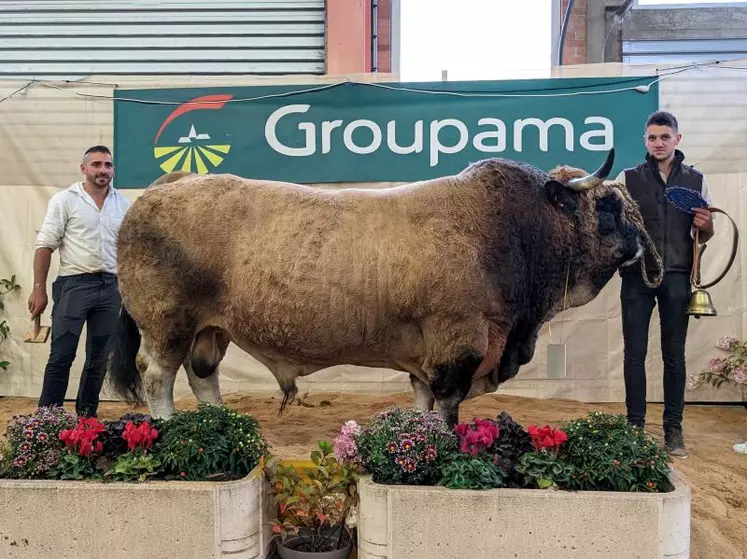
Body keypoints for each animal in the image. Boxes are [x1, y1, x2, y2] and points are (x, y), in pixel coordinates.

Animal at [106, 148, 660, 424]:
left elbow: (422, 402)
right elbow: (448, 408)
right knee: (158, 376)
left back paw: (219, 425)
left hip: (210, 329)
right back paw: (171, 428)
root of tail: (172, 183)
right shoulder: (458, 344)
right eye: (609, 205)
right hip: (167, 323)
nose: (642, 246)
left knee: (203, 375)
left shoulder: (425, 355)